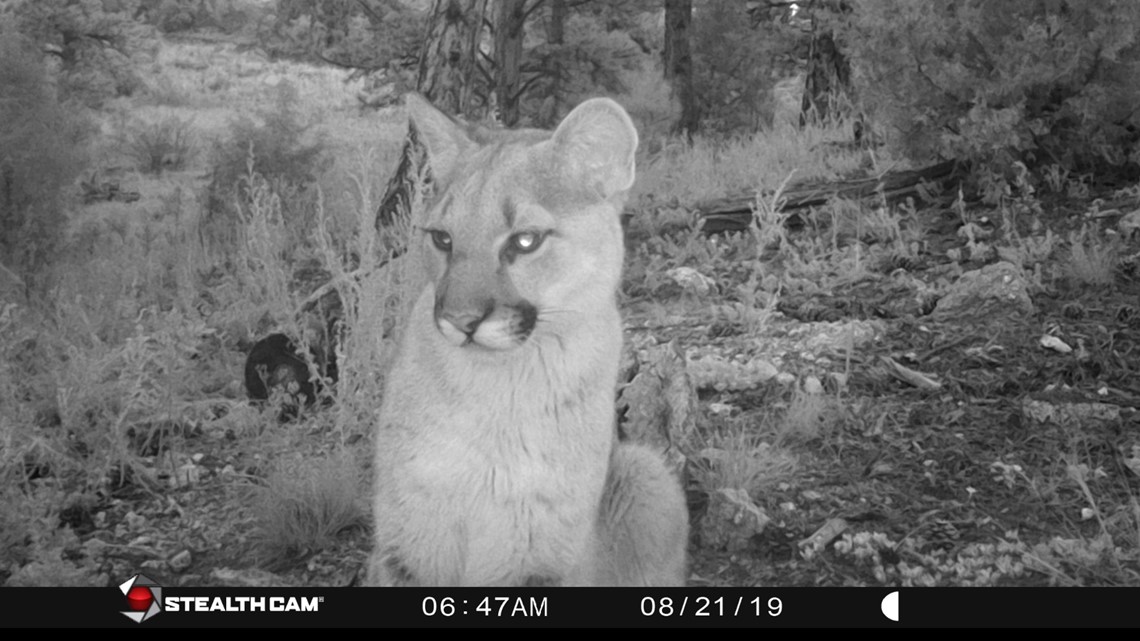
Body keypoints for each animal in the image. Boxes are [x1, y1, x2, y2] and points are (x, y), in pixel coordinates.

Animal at [367, 93, 684, 583]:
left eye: (526, 241)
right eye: (442, 238)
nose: (460, 320)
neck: (498, 386)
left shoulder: (537, 553)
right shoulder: (408, 538)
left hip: (646, 470)